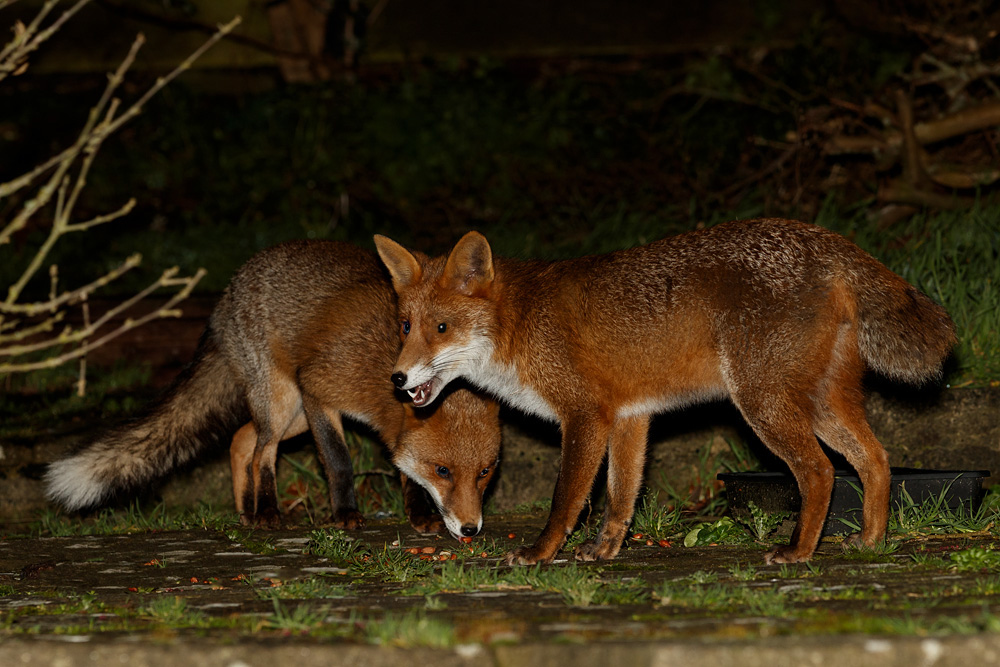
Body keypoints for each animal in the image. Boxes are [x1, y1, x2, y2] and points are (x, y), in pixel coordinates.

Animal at [45, 240, 502, 540]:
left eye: (484, 472)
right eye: (442, 471)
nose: (470, 529)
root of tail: (226, 294)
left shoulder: (382, 427)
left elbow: (402, 467)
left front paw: (417, 514)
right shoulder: (318, 391)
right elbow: (338, 462)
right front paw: (345, 513)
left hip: (290, 417)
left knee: (242, 439)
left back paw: (245, 510)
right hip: (285, 400)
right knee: (262, 451)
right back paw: (265, 511)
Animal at [373, 218, 957, 565]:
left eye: (441, 329)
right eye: (405, 326)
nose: (397, 380)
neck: (520, 325)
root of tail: (820, 236)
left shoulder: (585, 415)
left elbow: (567, 499)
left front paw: (540, 554)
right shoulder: (631, 416)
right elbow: (621, 496)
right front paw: (605, 550)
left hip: (764, 402)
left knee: (819, 471)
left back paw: (798, 552)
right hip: (821, 403)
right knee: (875, 459)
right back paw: (871, 540)